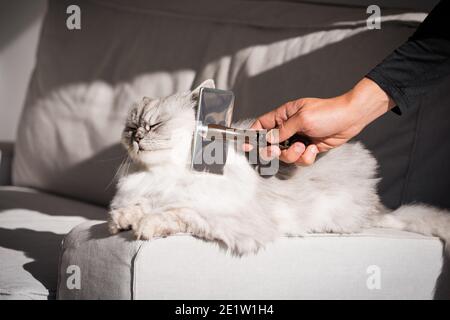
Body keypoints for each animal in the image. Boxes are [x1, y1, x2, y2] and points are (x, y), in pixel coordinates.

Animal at [108, 79, 450, 255]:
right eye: (131, 127)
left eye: (155, 125)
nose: (137, 137)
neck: (163, 174)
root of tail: (378, 208)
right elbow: (137, 207)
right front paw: (120, 221)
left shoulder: (218, 217)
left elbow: (173, 214)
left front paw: (143, 227)